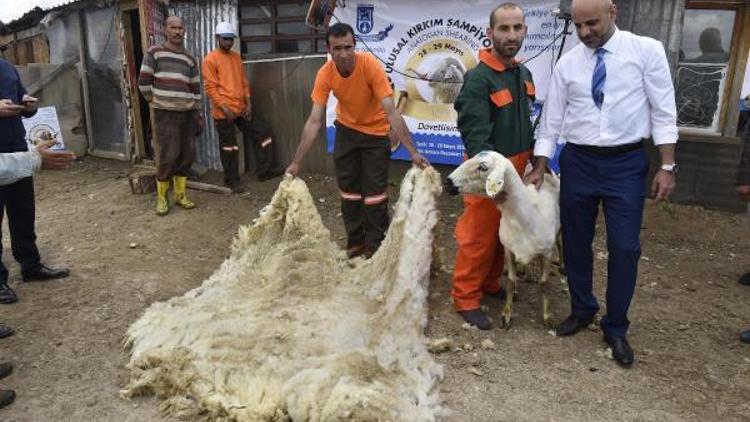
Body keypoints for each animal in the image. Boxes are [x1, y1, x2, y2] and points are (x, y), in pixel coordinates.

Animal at [444, 152, 560, 330]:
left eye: (483, 167)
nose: (448, 182)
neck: (524, 215)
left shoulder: (546, 252)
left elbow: (544, 284)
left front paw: (547, 317)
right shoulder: (509, 250)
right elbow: (511, 283)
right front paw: (506, 315)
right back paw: (527, 272)